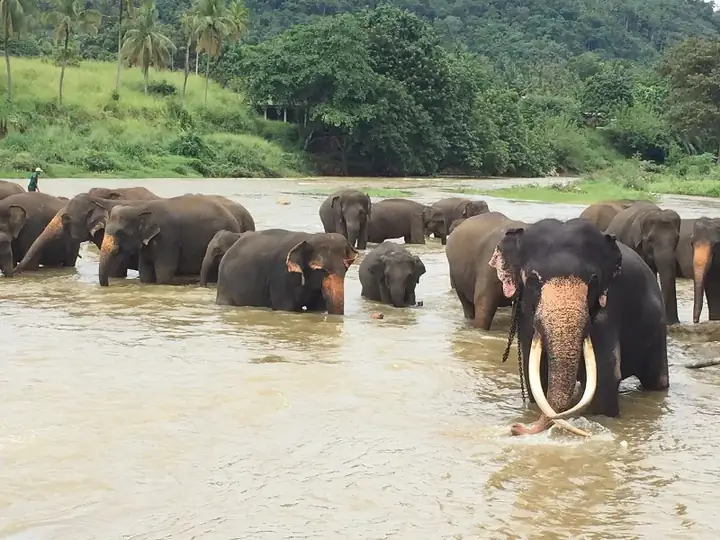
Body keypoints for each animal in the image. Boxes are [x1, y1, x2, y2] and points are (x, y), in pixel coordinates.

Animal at [98, 195, 242, 286]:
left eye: (121, 234)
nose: (108, 285)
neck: (141, 208)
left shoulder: (168, 238)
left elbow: (164, 275)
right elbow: (146, 276)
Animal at [216, 229, 357, 315]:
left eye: (346, 268)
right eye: (320, 270)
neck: (309, 237)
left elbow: (317, 309)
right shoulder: (282, 276)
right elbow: (286, 307)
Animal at [489, 218, 669, 436]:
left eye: (593, 280)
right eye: (532, 279)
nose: (516, 427)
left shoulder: (607, 310)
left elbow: (606, 376)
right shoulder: (525, 315)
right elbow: (537, 374)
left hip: (658, 330)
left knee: (657, 380)